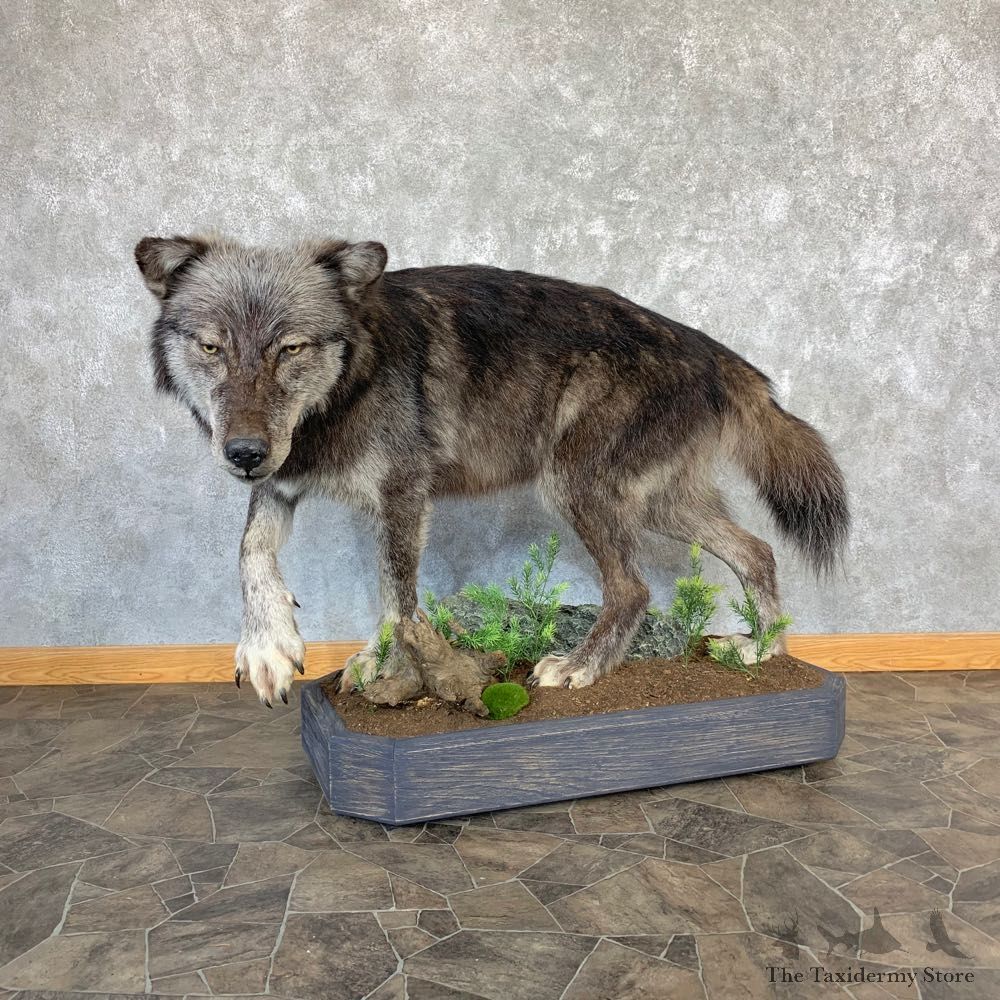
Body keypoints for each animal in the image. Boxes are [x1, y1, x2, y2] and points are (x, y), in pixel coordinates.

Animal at [135, 233, 849, 706]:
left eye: (289, 349)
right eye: (211, 347)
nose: (243, 452)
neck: (345, 389)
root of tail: (715, 352)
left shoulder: (404, 493)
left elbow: (398, 600)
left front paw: (383, 664)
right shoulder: (282, 483)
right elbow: (250, 552)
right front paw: (269, 648)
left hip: (577, 488)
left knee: (635, 589)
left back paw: (580, 668)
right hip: (659, 505)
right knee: (758, 552)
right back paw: (761, 650)